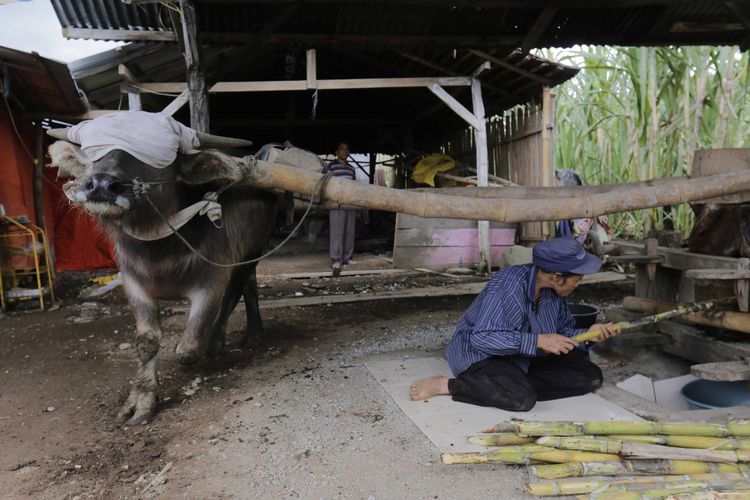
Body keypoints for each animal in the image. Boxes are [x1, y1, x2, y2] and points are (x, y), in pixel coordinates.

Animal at [50, 111, 280, 424]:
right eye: (94, 153)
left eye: (153, 157)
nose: (100, 186)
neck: (158, 248)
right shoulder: (134, 284)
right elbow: (146, 341)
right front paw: (142, 399)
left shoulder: (211, 283)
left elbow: (187, 349)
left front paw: (196, 352)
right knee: (247, 287)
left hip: (252, 252)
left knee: (238, 290)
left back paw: (225, 340)